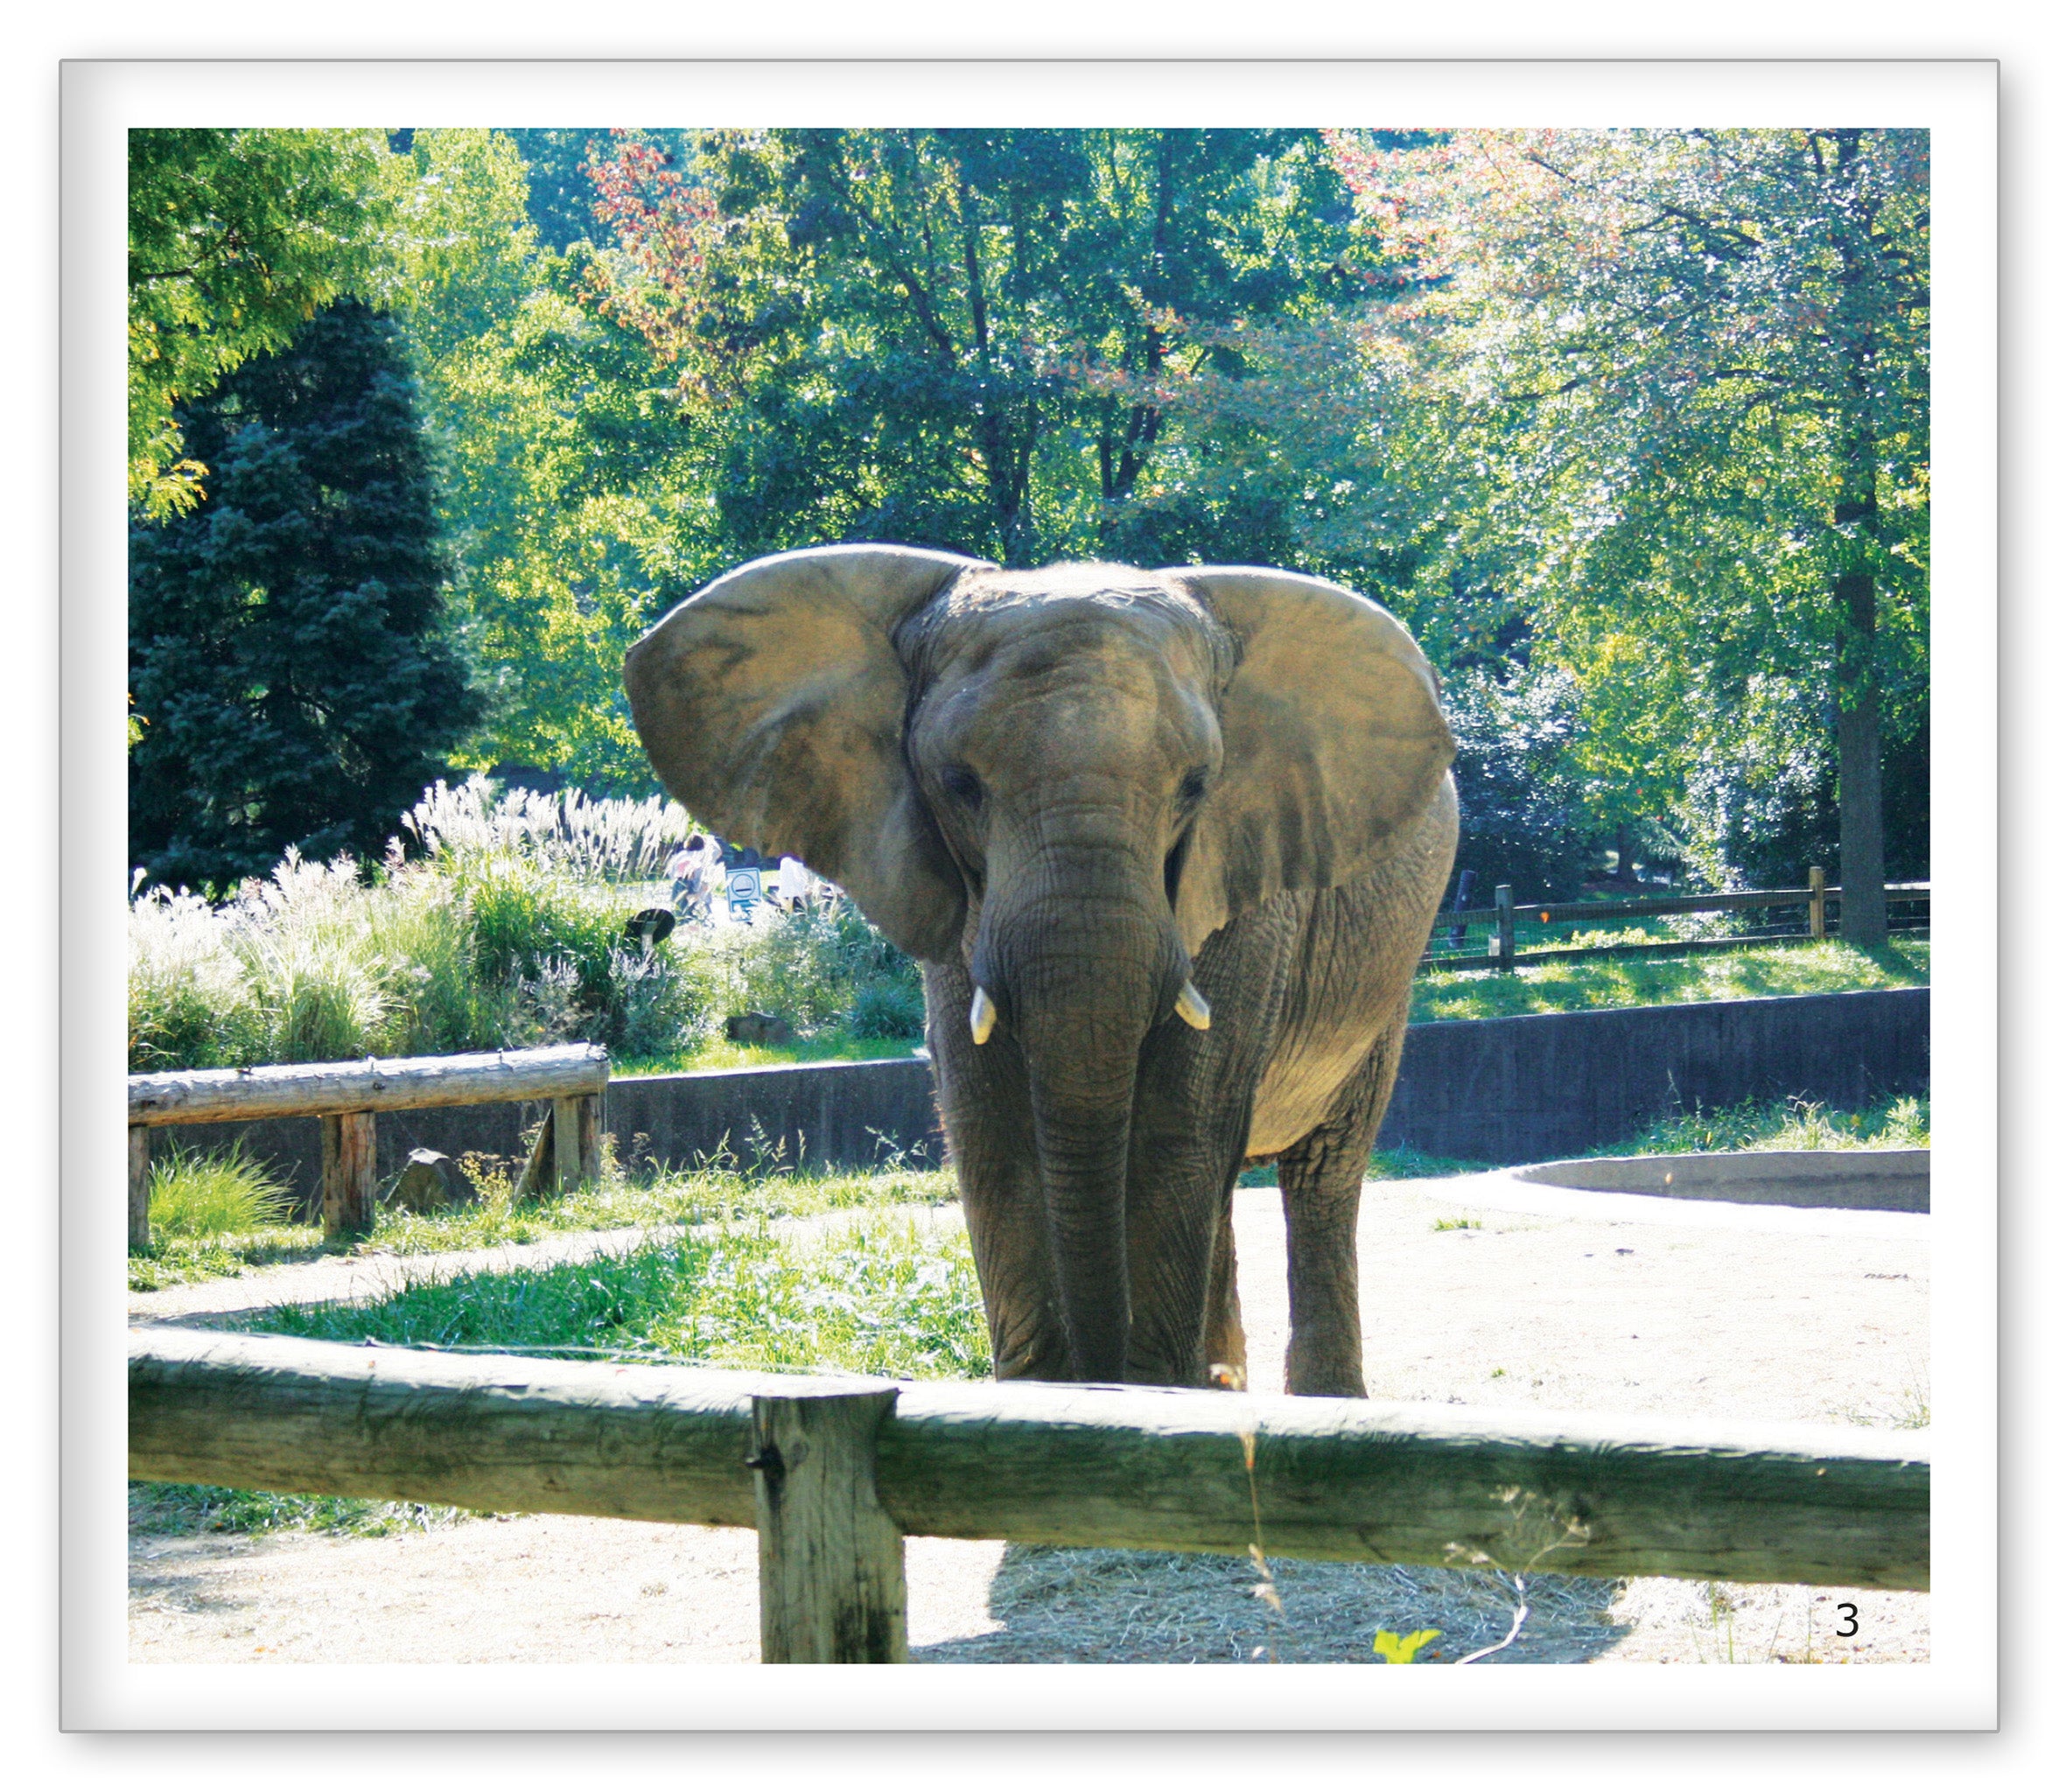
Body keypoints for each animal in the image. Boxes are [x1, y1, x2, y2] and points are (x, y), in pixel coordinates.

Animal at [623, 545, 1457, 1397]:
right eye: (959, 785)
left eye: (1195, 786)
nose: (1103, 1379)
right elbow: (989, 1126)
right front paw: (1053, 1396)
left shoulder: (1247, 882)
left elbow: (1177, 1128)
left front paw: (1156, 1396)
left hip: (1387, 978)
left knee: (1320, 1177)